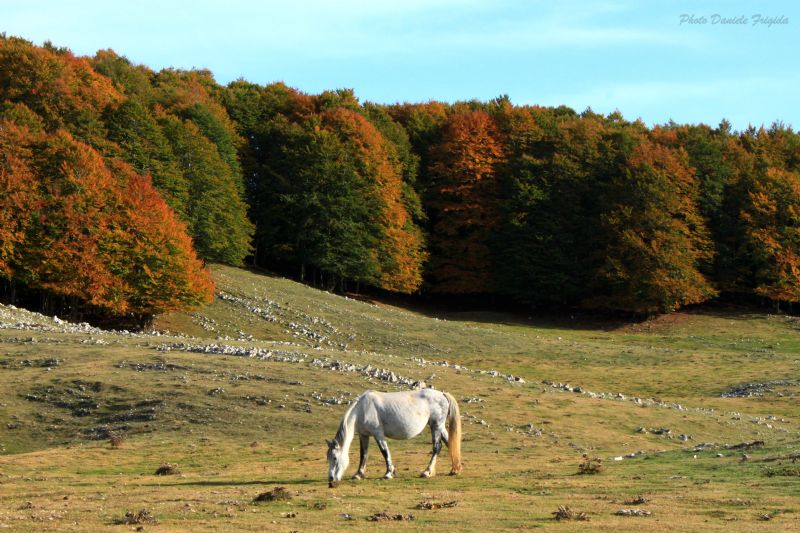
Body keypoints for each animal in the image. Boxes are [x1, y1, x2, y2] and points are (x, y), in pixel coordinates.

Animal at [326, 386, 462, 486]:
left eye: (335, 458)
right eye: (328, 458)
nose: (331, 479)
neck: (362, 409)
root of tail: (442, 394)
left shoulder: (378, 434)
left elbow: (384, 452)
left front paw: (388, 473)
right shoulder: (364, 435)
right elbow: (363, 454)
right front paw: (358, 474)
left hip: (436, 426)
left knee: (437, 447)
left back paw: (427, 472)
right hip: (440, 427)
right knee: (449, 443)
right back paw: (455, 469)